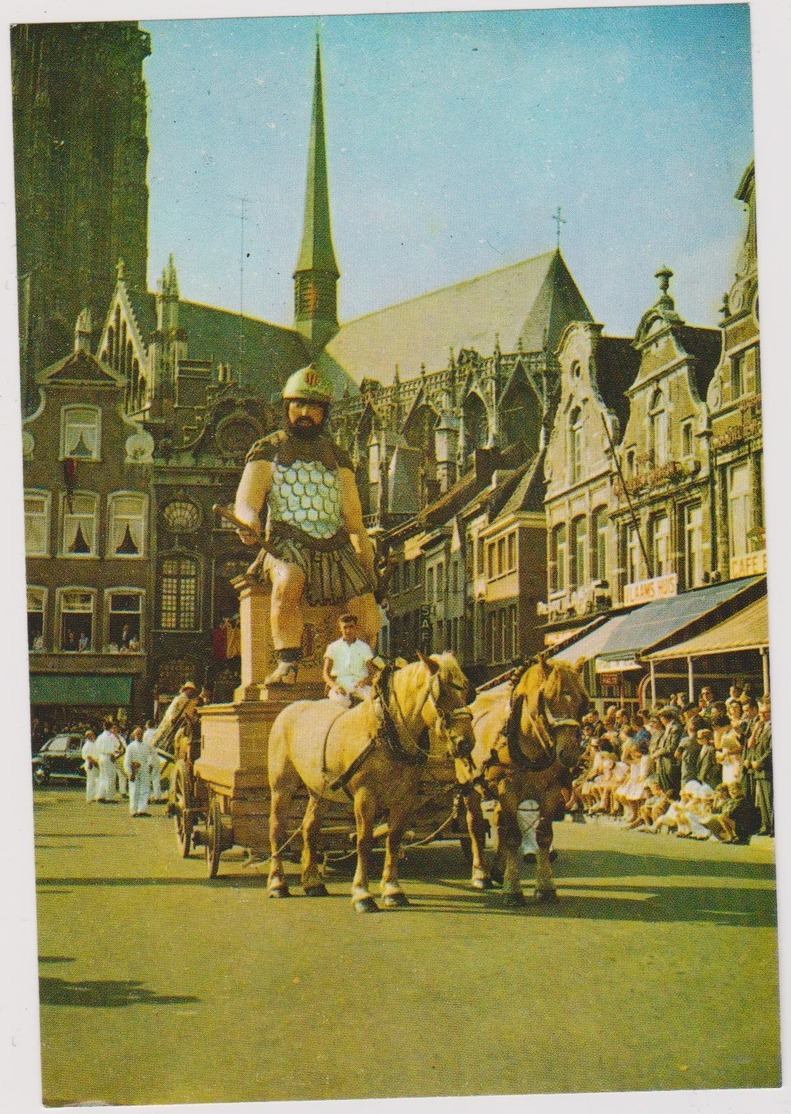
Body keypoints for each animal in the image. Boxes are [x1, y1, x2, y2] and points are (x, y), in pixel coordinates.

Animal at [266, 650, 476, 913]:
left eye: (467, 690)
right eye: (443, 693)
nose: (465, 743)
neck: (386, 732)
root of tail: (290, 708)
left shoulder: (405, 797)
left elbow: (393, 840)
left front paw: (393, 890)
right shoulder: (365, 796)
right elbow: (364, 841)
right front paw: (362, 894)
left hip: (319, 791)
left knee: (310, 829)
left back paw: (313, 882)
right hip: (282, 786)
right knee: (277, 829)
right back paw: (277, 883)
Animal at [454, 650, 592, 904]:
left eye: (582, 701)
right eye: (547, 698)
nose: (569, 753)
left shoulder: (551, 791)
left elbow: (544, 836)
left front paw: (546, 887)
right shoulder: (508, 788)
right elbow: (513, 837)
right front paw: (513, 890)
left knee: (499, 823)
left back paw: (498, 870)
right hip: (469, 786)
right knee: (475, 826)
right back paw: (481, 874)